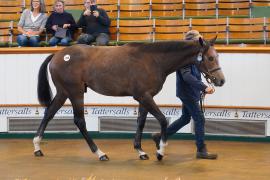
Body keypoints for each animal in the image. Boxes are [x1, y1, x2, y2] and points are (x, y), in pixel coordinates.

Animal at [32, 37, 225, 161]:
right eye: (210, 57)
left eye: (217, 56)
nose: (221, 80)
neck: (153, 60)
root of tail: (58, 55)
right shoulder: (144, 96)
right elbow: (162, 120)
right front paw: (160, 151)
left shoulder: (145, 97)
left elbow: (141, 122)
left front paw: (141, 151)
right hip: (75, 93)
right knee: (79, 121)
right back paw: (100, 153)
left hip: (63, 92)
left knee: (49, 113)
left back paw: (37, 147)